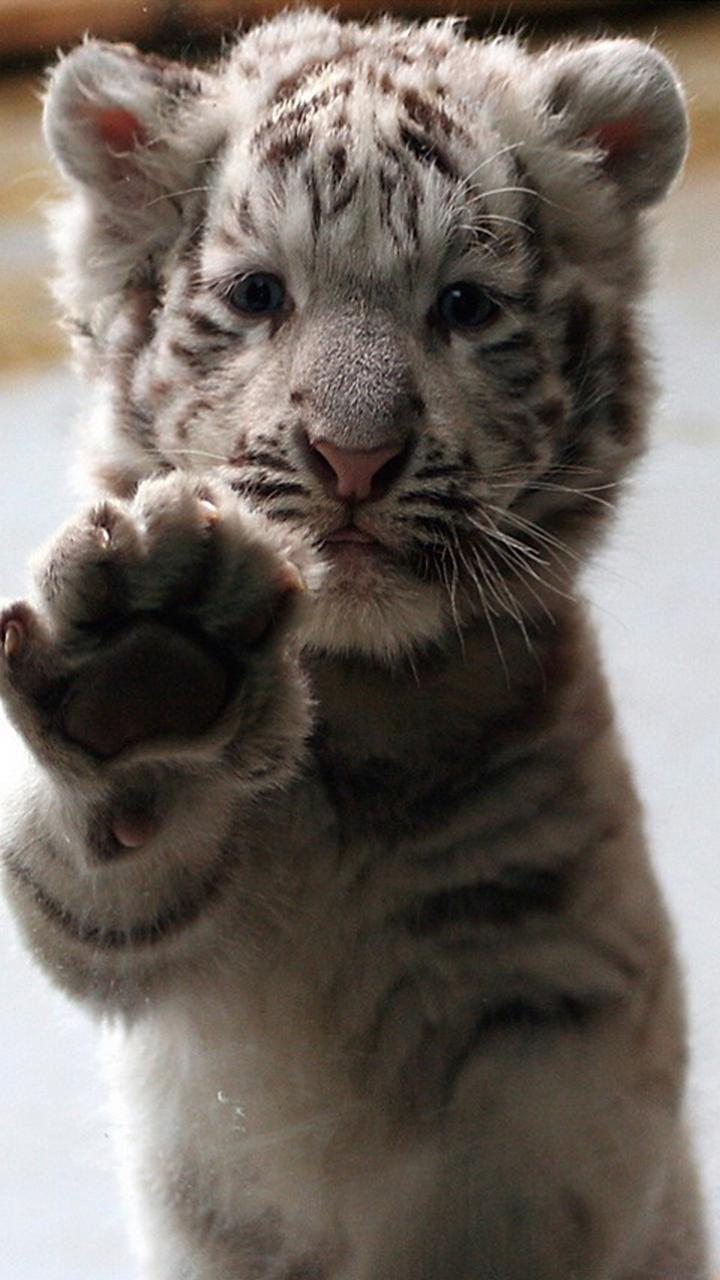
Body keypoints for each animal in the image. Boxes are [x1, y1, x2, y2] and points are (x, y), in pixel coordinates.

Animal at [0, 10, 708, 1278]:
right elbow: (97, 870)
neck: (360, 728)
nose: (356, 456)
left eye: (465, 305)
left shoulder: (557, 988)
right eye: (257, 293)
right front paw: (148, 667)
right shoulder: (131, 946)